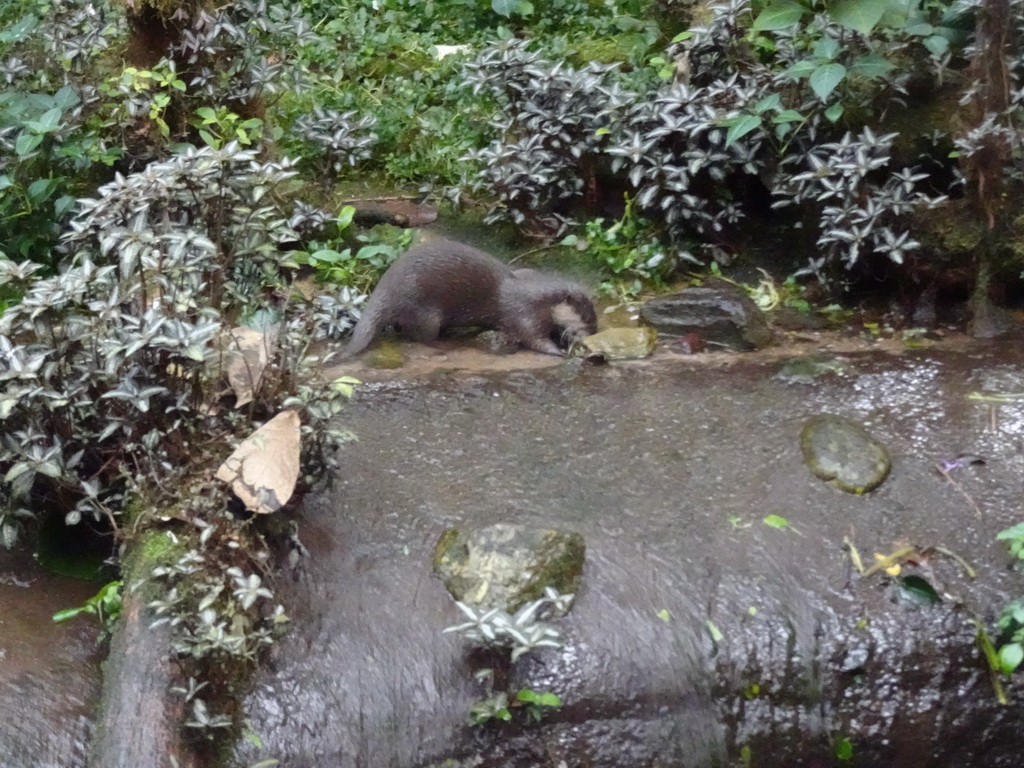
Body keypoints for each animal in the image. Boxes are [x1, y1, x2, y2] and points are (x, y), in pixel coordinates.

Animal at [344, 239, 598, 360]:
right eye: (586, 318)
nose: (594, 332)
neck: (537, 297)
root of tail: (385, 287)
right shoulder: (524, 315)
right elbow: (534, 340)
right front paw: (559, 351)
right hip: (424, 311)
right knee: (419, 336)